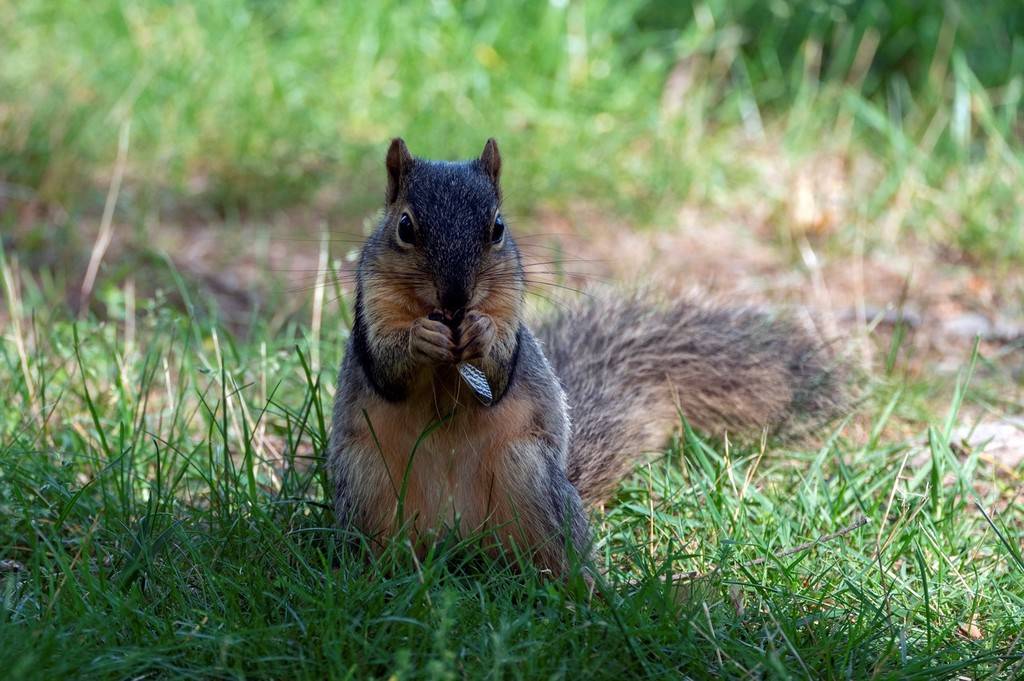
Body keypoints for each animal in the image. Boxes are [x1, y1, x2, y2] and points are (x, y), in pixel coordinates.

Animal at [329, 138, 847, 573]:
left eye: (497, 228)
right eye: (404, 226)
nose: (457, 298)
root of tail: (457, 545)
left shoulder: (509, 310)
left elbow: (499, 371)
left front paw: (482, 332)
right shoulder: (372, 309)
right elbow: (386, 367)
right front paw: (421, 338)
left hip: (528, 475)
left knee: (554, 559)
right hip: (367, 483)